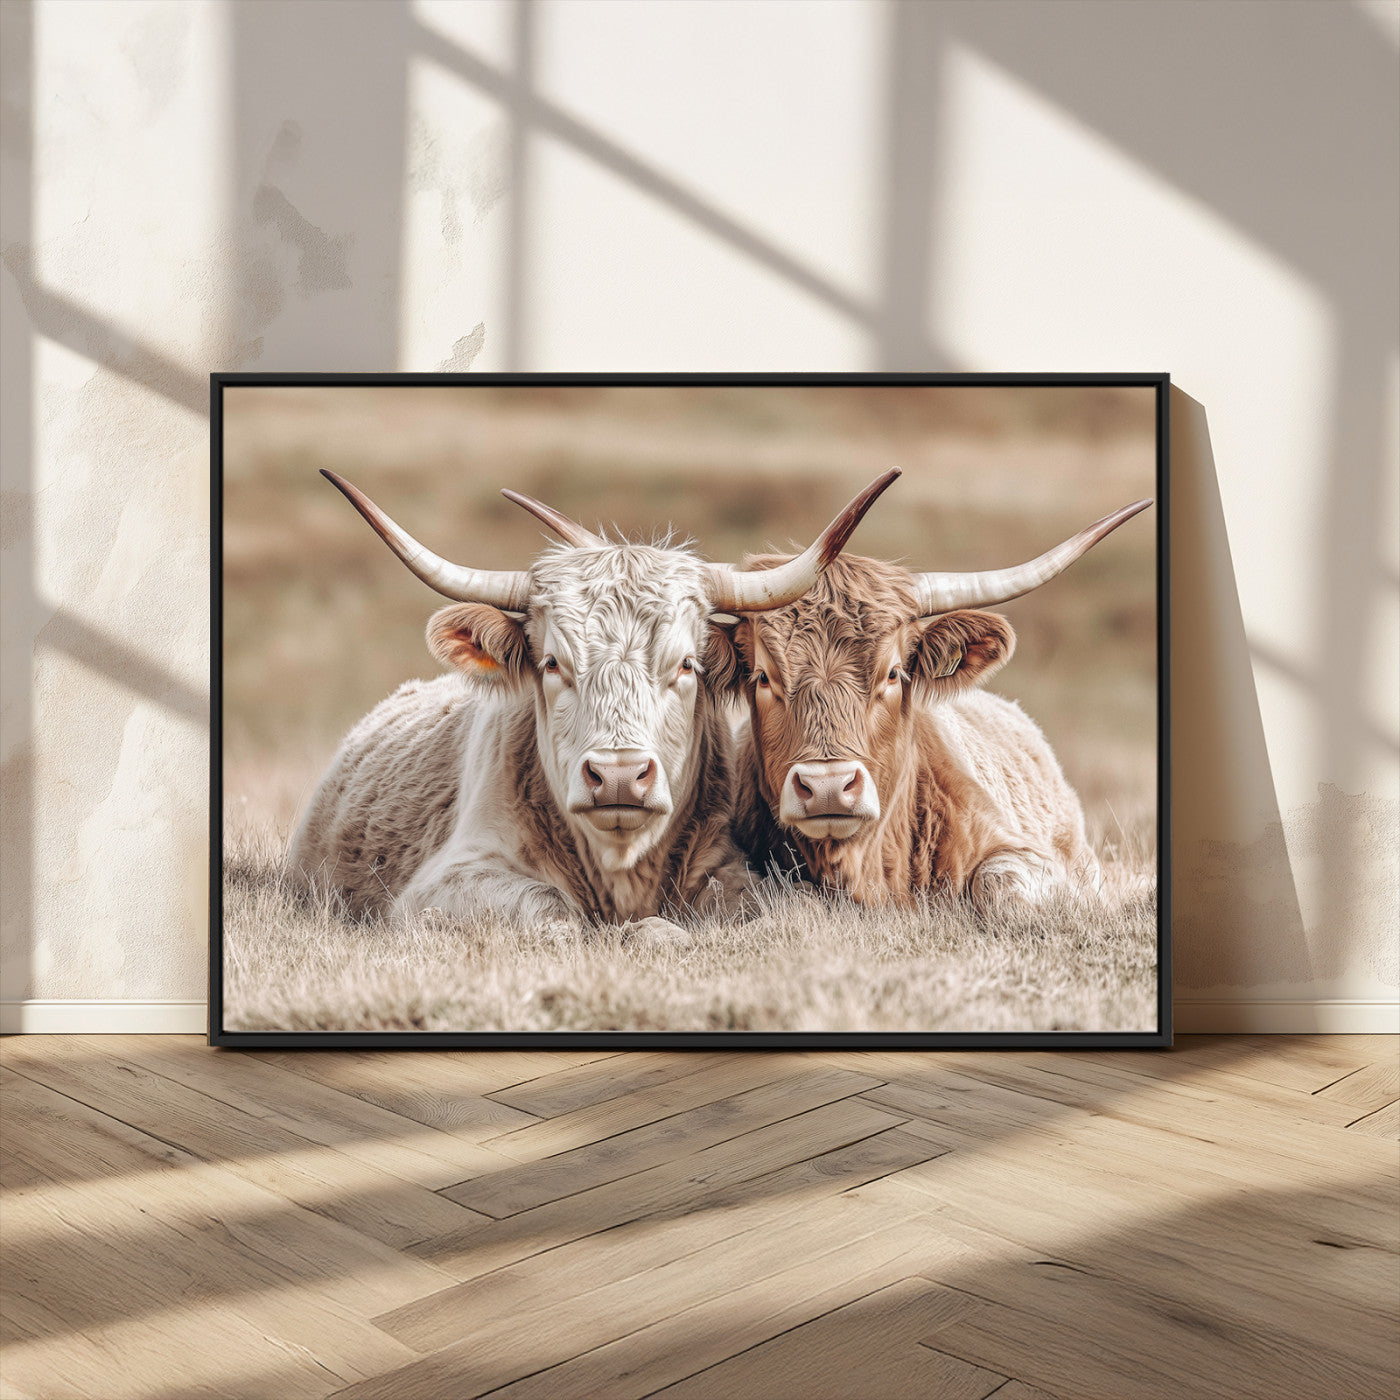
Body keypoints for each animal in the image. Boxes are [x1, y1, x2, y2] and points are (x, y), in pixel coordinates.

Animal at [287, 468, 899, 940]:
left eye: (686, 664)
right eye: (553, 663)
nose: (619, 776)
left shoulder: (731, 867)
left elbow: (774, 906)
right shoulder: (446, 881)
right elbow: (549, 908)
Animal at [722, 499, 1154, 911]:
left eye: (893, 673)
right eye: (763, 677)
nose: (827, 787)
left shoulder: (1032, 858)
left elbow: (998, 884)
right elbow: (788, 893)